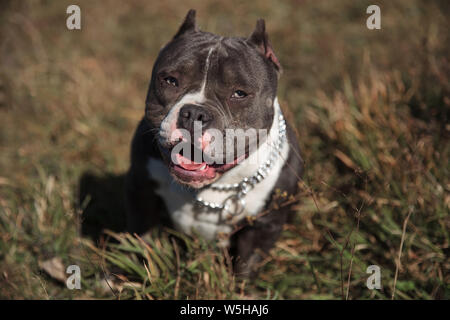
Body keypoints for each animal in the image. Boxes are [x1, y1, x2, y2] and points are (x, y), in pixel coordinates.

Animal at [125, 8, 304, 276]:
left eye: (239, 93)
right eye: (170, 80)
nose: (194, 114)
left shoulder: (263, 226)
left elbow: (245, 268)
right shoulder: (141, 194)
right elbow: (140, 244)